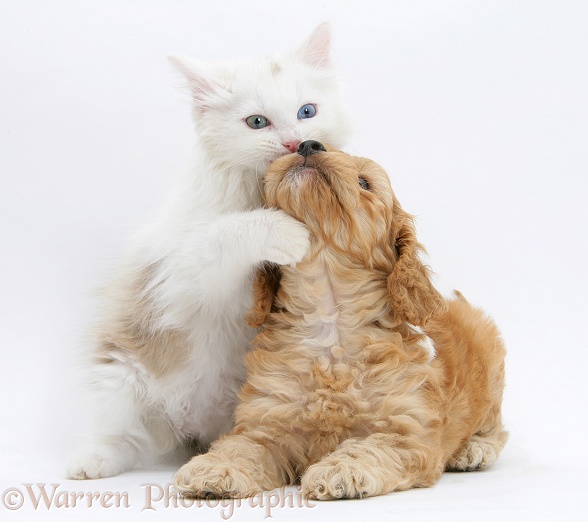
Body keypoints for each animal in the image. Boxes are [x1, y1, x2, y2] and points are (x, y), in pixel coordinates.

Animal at [65, 25, 350, 480]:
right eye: (257, 122)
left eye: (307, 111)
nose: (296, 142)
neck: (258, 190)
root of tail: (190, 425)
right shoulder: (185, 267)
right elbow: (228, 234)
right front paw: (288, 231)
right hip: (119, 373)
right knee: (121, 436)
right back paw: (91, 462)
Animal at [172, 140, 508, 498]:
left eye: (364, 183)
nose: (309, 144)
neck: (329, 317)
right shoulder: (265, 420)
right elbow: (242, 446)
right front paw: (214, 468)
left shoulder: (408, 435)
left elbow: (371, 448)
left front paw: (339, 469)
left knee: (496, 427)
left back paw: (474, 450)